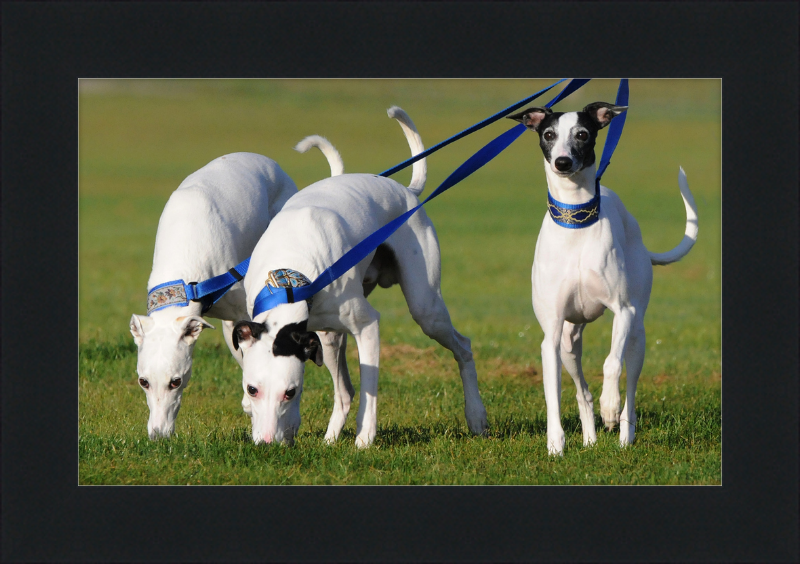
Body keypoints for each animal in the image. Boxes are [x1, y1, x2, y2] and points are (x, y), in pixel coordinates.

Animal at [233, 108, 488, 448]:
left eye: (291, 392)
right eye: (252, 389)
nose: (267, 443)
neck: (289, 279)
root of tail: (407, 191)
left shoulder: (367, 326)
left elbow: (369, 388)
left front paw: (365, 438)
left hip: (427, 310)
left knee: (463, 347)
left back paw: (476, 416)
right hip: (328, 339)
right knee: (344, 391)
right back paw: (330, 438)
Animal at [510, 100, 696, 454]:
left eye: (583, 134)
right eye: (549, 134)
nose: (563, 162)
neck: (576, 222)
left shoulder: (622, 312)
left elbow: (611, 362)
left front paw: (609, 406)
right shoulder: (551, 334)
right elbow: (553, 392)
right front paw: (556, 444)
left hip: (638, 336)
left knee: (630, 385)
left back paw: (623, 434)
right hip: (570, 342)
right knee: (582, 391)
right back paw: (590, 439)